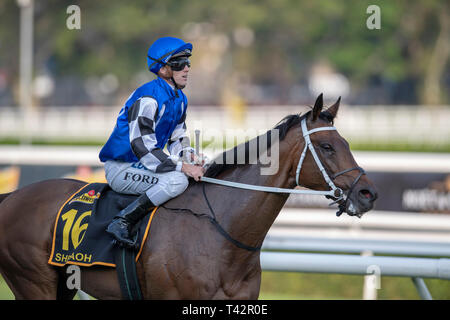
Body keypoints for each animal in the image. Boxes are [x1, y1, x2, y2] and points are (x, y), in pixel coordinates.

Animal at [0, 94, 376, 298]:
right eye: (327, 147)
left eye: (345, 143)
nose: (368, 193)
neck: (221, 231)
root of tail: (13, 196)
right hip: (33, 282)